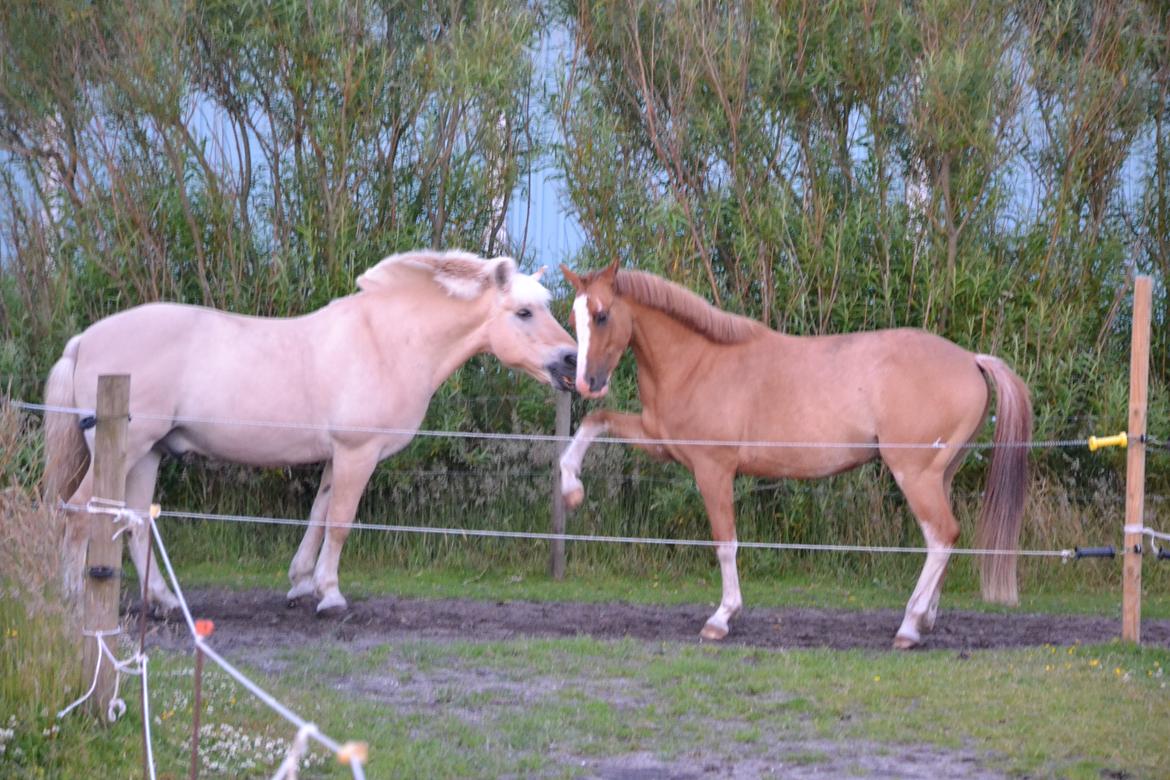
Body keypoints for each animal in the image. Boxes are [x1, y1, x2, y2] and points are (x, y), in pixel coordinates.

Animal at [44, 249, 577, 616]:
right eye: (524, 312)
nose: (572, 359)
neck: (386, 341)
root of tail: (83, 340)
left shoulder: (337, 456)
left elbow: (319, 515)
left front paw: (302, 583)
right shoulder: (358, 452)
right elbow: (340, 521)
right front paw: (330, 594)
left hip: (147, 454)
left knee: (134, 521)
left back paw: (163, 601)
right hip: (124, 452)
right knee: (76, 513)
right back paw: (72, 600)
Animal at [557, 261, 1031, 649]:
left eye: (602, 315)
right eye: (573, 318)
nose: (584, 382)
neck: (699, 362)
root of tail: (971, 360)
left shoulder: (713, 469)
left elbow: (725, 542)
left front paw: (722, 618)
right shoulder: (659, 441)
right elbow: (595, 422)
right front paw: (572, 490)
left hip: (914, 474)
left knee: (941, 536)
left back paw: (910, 626)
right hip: (940, 475)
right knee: (946, 539)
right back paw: (926, 619)